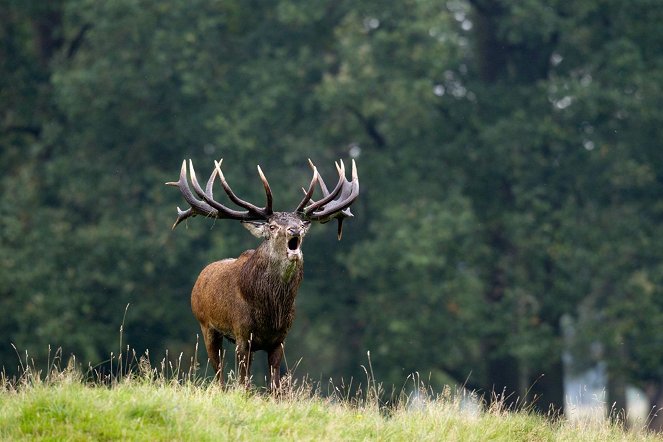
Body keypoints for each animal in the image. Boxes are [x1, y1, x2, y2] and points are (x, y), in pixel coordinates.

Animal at [169, 158, 360, 390]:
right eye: (272, 226)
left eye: (300, 224)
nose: (294, 230)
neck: (271, 309)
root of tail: (199, 280)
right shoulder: (242, 334)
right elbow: (243, 383)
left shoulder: (279, 339)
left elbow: (275, 386)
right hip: (206, 325)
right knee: (219, 374)